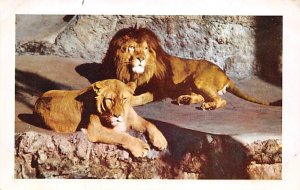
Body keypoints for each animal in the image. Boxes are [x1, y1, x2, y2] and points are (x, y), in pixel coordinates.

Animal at [34, 78, 169, 157]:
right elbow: (122, 136)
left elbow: (150, 123)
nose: (117, 116)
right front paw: (140, 147)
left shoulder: (133, 119)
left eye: (124, 99)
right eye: (109, 99)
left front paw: (161, 140)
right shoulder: (95, 129)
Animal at [102, 27, 280, 110]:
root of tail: (225, 74)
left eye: (145, 49)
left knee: (221, 100)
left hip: (199, 80)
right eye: (132, 47)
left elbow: (141, 98)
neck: (134, 74)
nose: (141, 58)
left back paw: (209, 106)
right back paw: (186, 99)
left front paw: (128, 100)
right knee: (202, 96)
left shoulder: (159, 90)